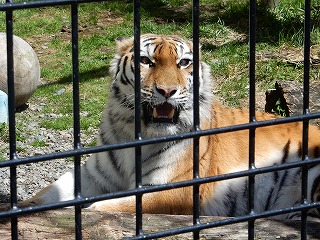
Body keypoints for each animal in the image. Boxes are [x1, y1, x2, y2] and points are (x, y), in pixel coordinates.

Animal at [20, 33, 320, 219]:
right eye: (146, 61)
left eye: (183, 63)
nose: (167, 91)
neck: (135, 133)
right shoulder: (96, 175)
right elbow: (47, 194)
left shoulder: (177, 189)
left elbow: (106, 208)